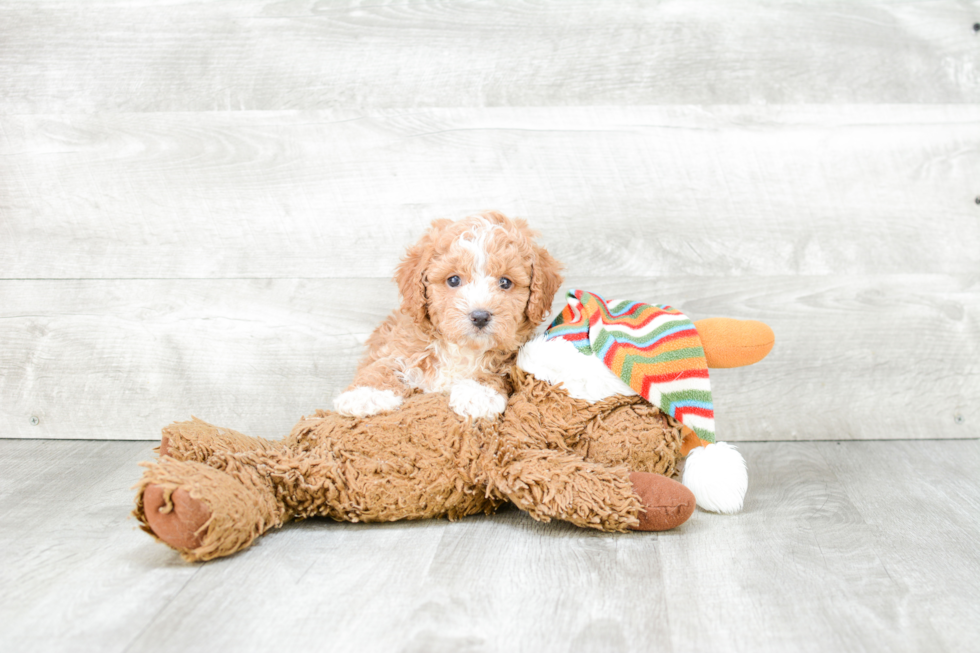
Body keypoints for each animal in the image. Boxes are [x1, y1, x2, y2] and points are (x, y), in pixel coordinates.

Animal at [336, 211, 564, 420]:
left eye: (505, 282)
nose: (480, 316)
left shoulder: (510, 357)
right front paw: (365, 394)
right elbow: (382, 364)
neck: (461, 349)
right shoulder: (400, 345)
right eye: (453, 280)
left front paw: (478, 394)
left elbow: (497, 370)